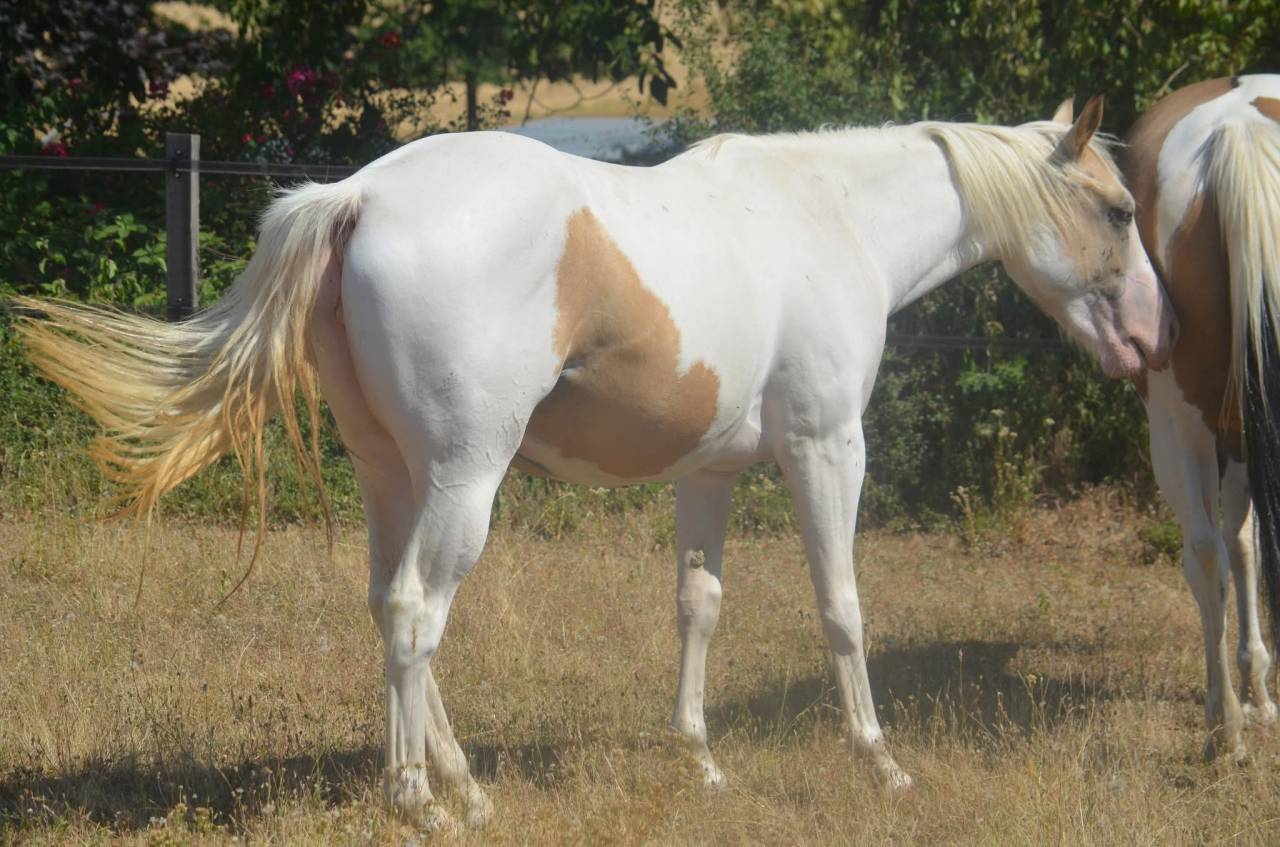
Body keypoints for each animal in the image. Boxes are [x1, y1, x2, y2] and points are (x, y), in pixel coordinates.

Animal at [16, 95, 1176, 827]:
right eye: (1119, 211)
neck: (825, 216)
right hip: (464, 480)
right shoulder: (826, 449)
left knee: (388, 605)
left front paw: (698, 758)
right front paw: (878, 761)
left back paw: (459, 782)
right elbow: (842, 608)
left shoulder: (710, 475)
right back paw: (422, 801)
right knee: (417, 613)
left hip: (391, 477)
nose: (1151, 341)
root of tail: (359, 196)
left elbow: (697, 606)